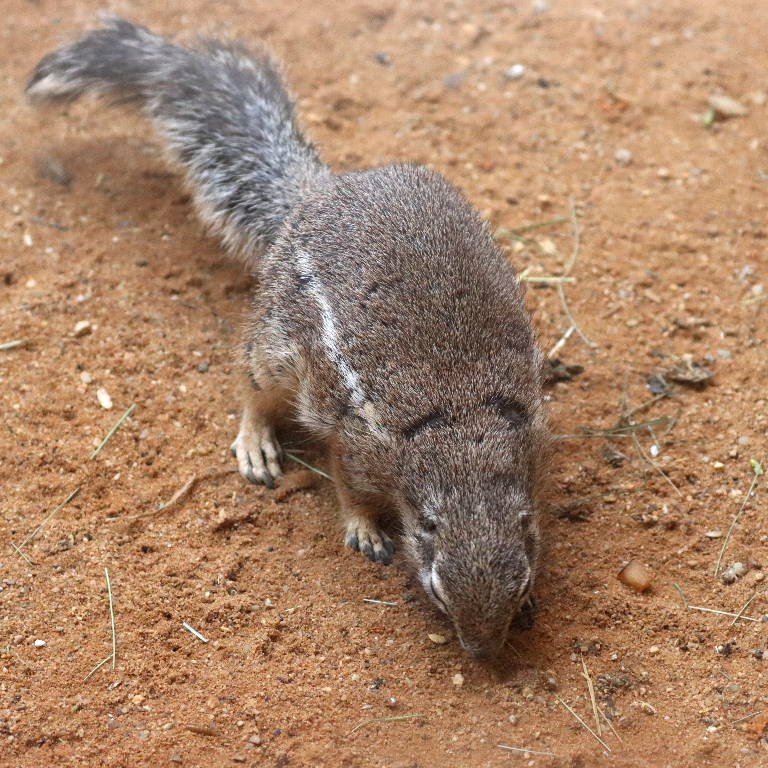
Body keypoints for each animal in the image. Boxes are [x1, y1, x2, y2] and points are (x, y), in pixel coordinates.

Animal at [27, 18, 548, 659]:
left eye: (520, 578)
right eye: (437, 586)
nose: (482, 652)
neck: (457, 424)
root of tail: (314, 193)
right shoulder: (357, 443)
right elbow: (349, 488)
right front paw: (364, 530)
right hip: (276, 343)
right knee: (253, 390)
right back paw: (256, 443)